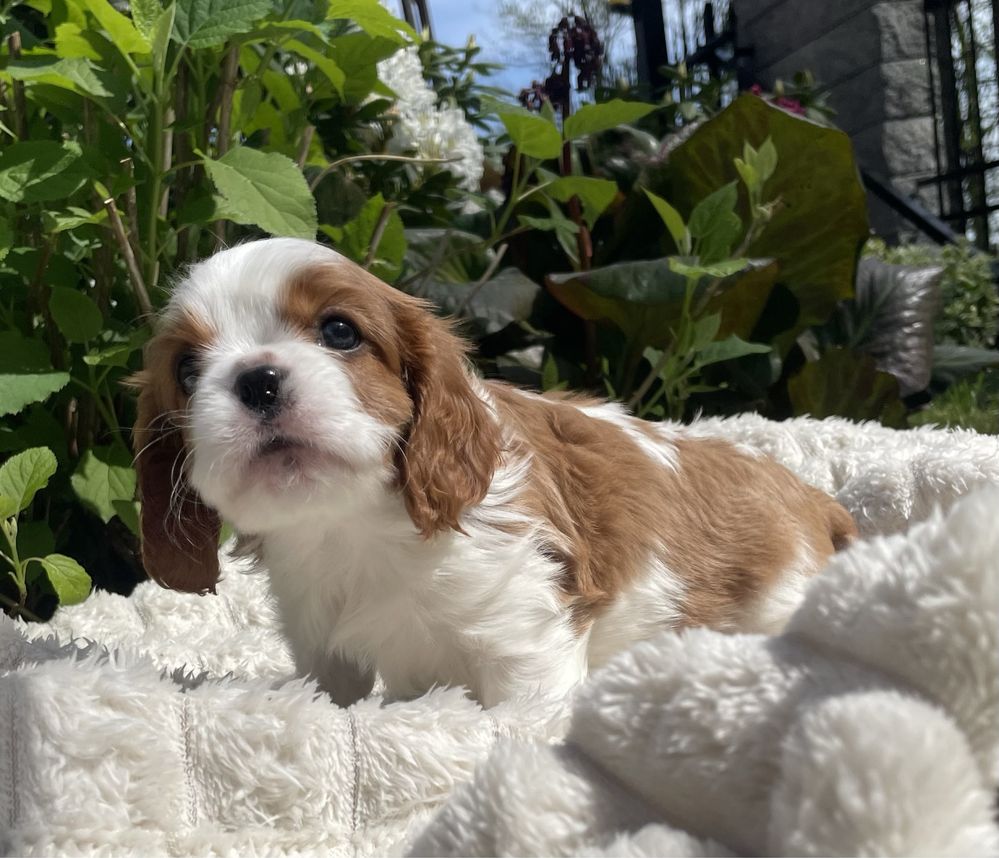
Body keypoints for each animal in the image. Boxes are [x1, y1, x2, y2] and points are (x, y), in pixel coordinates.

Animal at [129, 237, 856, 704]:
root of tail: (810, 496)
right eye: (187, 371)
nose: (257, 380)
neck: (356, 528)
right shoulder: (320, 644)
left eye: (338, 332)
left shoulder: (523, 634)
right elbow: (327, 699)